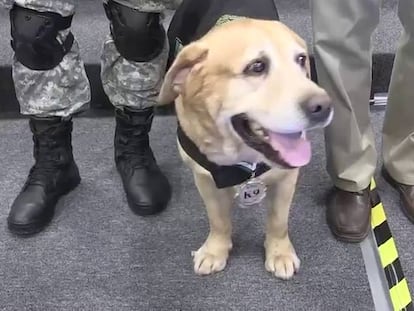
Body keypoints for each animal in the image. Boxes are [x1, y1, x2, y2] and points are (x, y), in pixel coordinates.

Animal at [158, 17, 334, 280]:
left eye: (301, 59)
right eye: (257, 66)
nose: (324, 106)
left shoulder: (287, 178)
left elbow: (278, 221)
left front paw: (279, 252)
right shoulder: (204, 179)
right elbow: (218, 220)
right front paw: (215, 250)